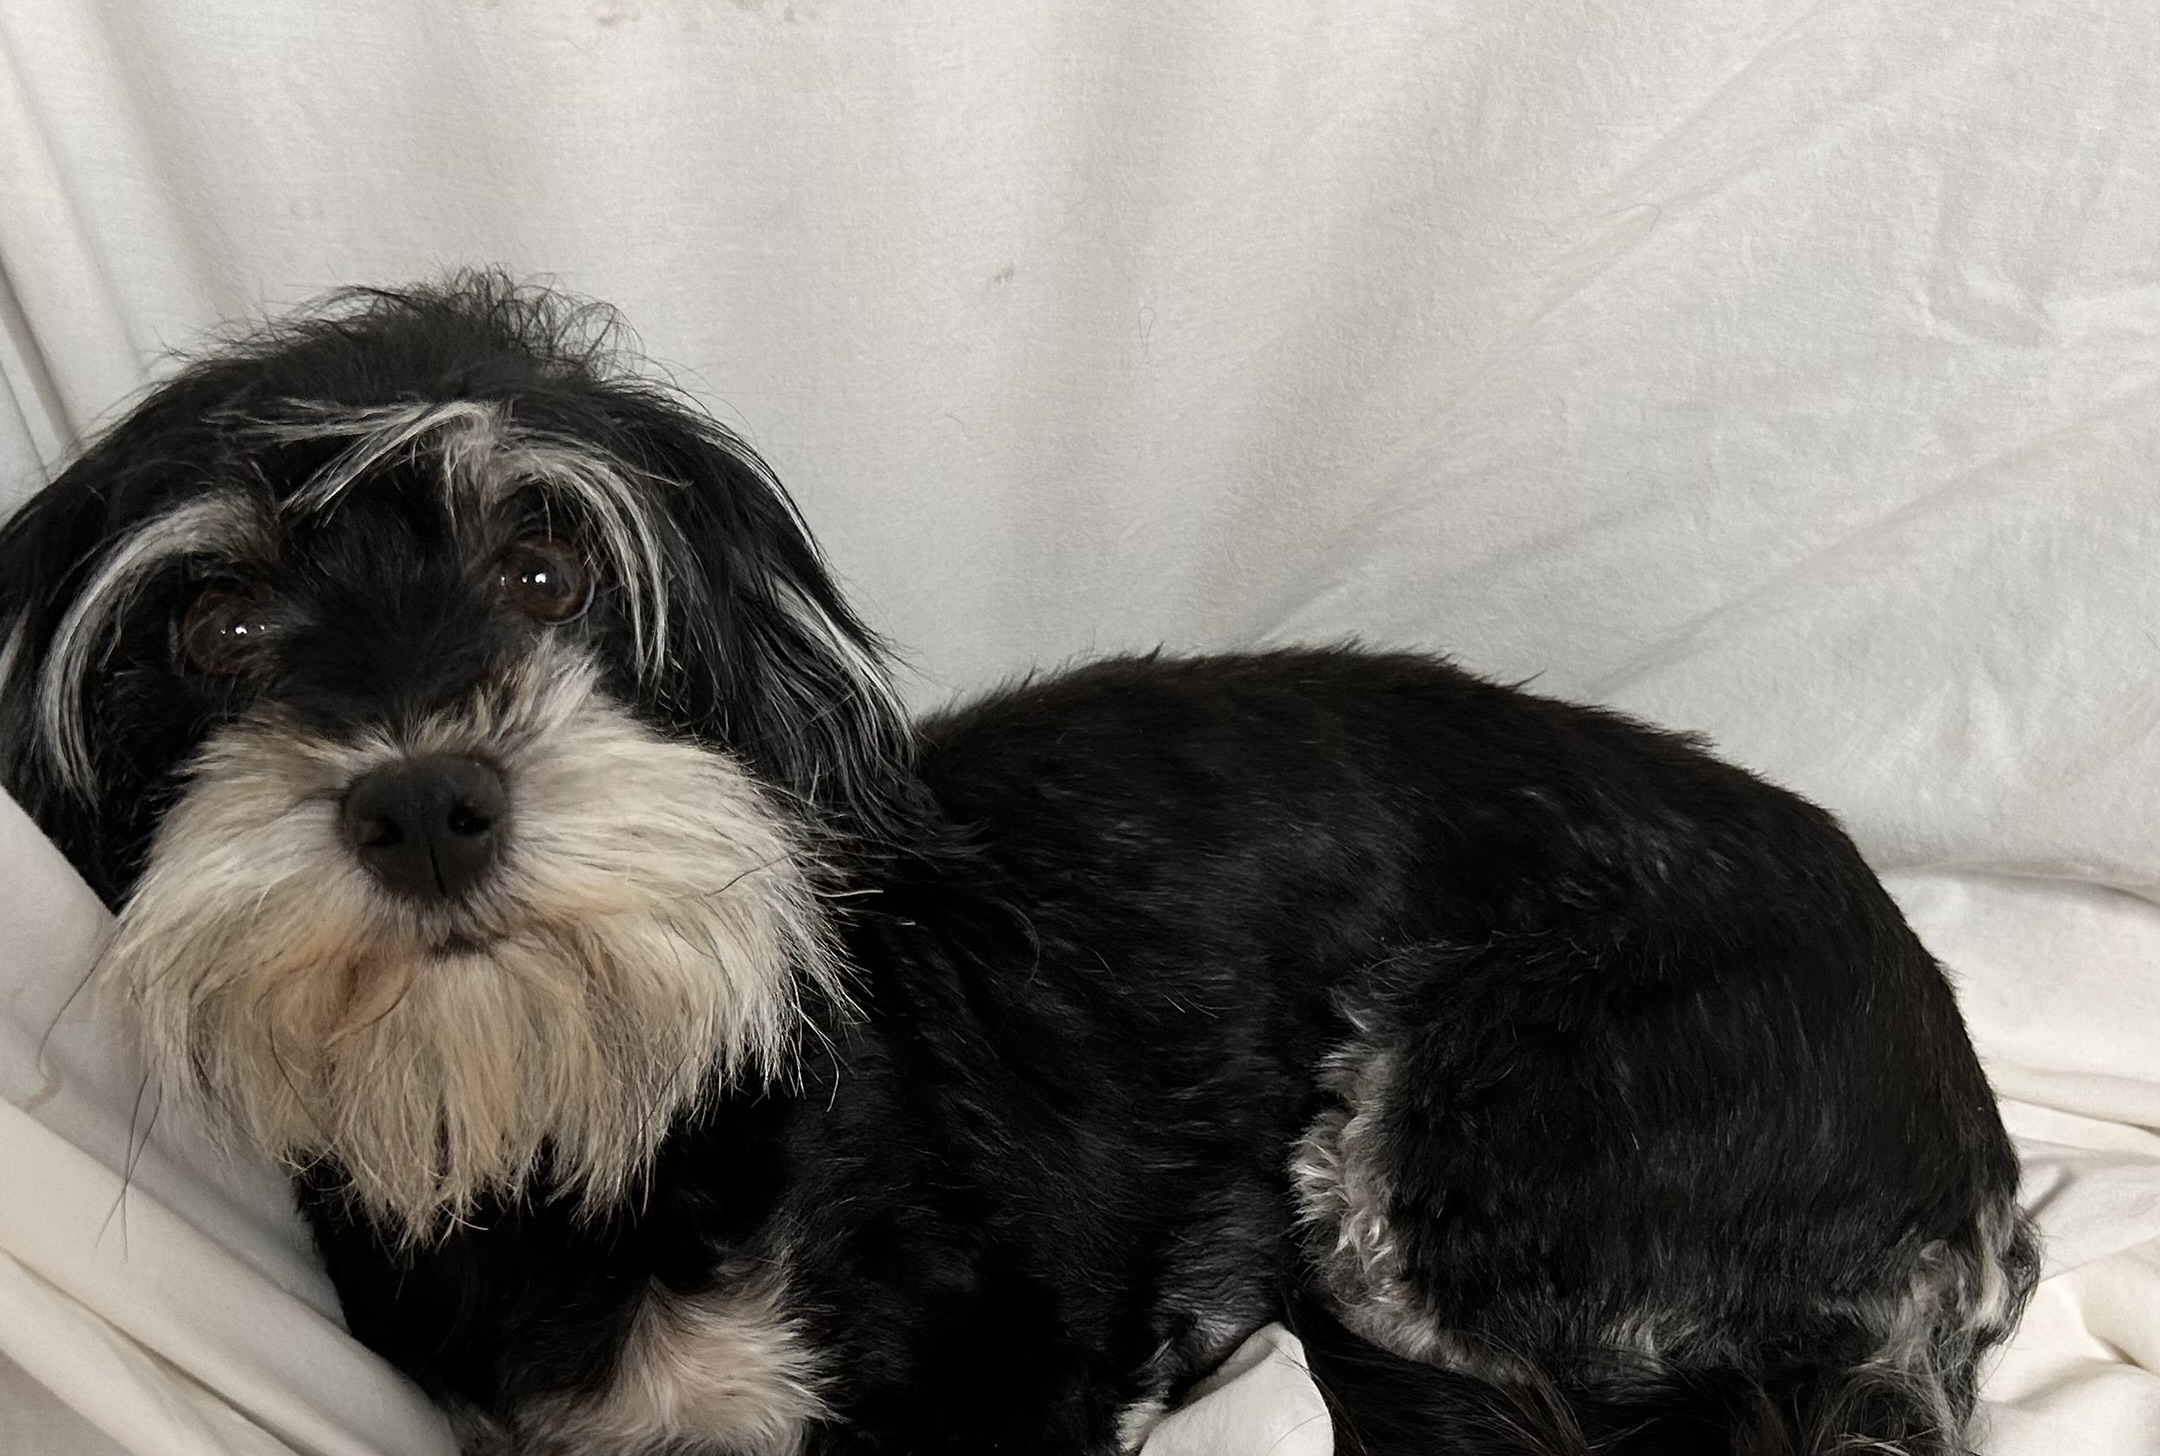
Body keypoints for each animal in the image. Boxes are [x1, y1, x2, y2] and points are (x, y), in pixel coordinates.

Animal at [0, 275, 2021, 1451]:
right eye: (215, 634)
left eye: (546, 568)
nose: (425, 802)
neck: (599, 1128)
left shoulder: (1004, 1374)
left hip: (1453, 1169)